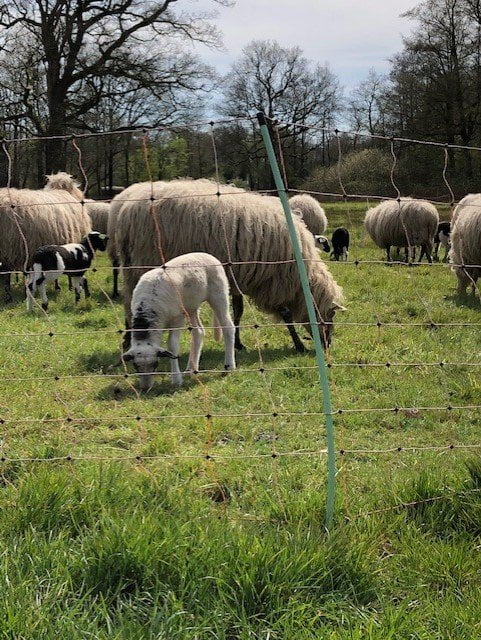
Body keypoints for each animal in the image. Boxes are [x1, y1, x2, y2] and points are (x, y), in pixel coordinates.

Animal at [114, 178, 344, 352]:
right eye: (330, 315)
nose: (328, 345)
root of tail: (127, 211)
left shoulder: (240, 277)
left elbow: (238, 311)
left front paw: (238, 343)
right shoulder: (275, 281)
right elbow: (286, 314)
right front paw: (298, 345)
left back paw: (129, 337)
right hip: (145, 263)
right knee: (132, 300)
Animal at [124, 252, 236, 392]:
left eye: (155, 364)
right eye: (135, 366)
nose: (145, 388)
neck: (148, 309)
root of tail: (207, 254)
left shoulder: (177, 319)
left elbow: (172, 346)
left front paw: (176, 379)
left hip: (218, 294)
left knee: (228, 327)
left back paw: (229, 366)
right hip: (191, 306)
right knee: (198, 332)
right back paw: (190, 369)